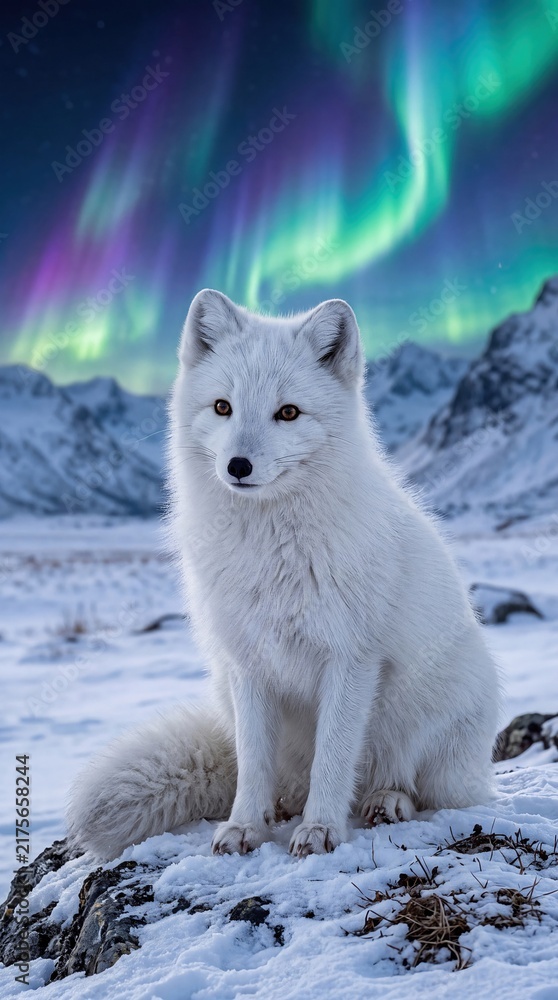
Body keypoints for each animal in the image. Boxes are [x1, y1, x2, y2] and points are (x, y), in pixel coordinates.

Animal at [67, 290, 500, 860]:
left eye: (288, 412)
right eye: (223, 407)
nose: (238, 466)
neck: (270, 553)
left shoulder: (351, 659)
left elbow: (334, 757)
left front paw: (320, 830)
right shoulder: (248, 664)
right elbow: (253, 764)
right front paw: (244, 826)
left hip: (436, 727)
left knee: (413, 784)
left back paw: (386, 801)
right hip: (225, 693)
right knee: (281, 777)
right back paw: (283, 807)